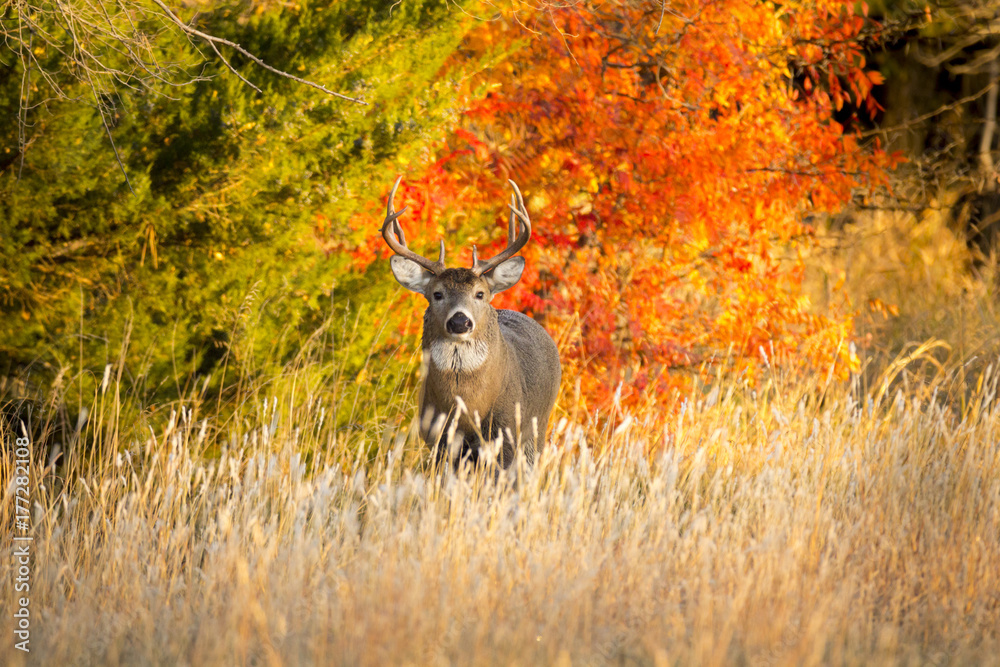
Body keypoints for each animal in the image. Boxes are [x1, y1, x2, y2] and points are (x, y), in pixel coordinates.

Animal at [380, 177, 560, 470]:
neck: (466, 408)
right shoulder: (439, 439)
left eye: (480, 294)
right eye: (437, 294)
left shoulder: (506, 435)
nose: (460, 321)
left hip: (537, 428)